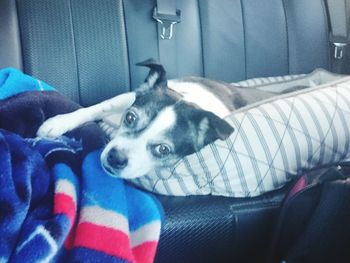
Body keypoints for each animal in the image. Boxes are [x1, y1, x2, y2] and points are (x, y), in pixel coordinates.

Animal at [36, 59, 276, 179]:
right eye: (129, 118)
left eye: (163, 150)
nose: (116, 158)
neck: (189, 99)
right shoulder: (127, 98)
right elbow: (100, 106)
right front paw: (58, 122)